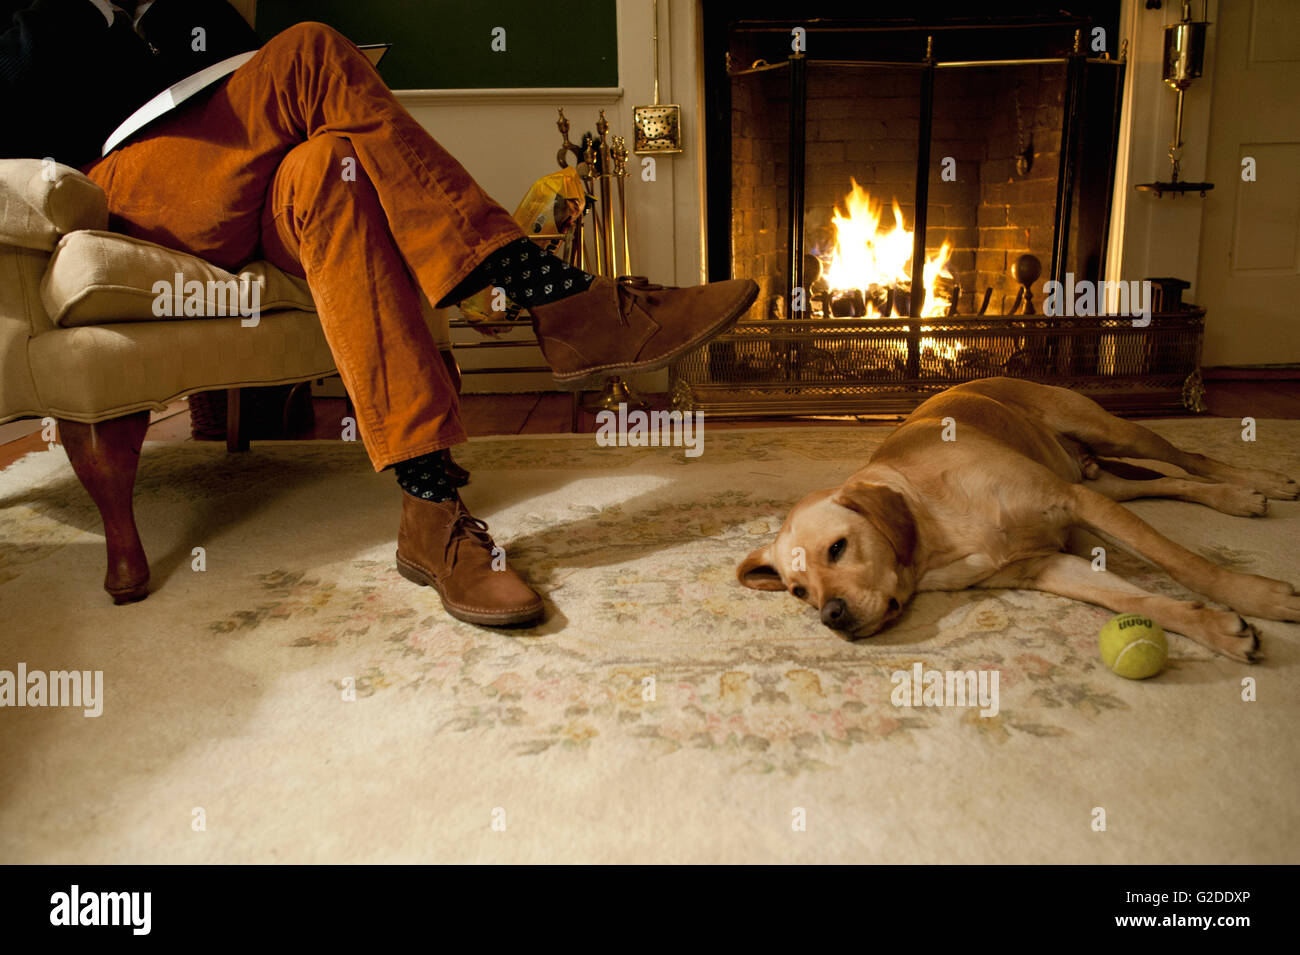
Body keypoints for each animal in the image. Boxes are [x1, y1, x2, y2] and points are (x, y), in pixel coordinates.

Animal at [743, 376, 1300, 660]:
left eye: (838, 548)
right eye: (798, 591)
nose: (830, 616)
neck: (937, 532)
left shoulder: (1074, 503)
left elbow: (1182, 563)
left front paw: (1257, 595)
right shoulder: (1048, 564)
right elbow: (1133, 600)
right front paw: (1216, 629)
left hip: (1110, 434)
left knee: (1189, 457)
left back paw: (1262, 480)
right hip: (1102, 485)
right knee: (1166, 483)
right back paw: (1237, 497)